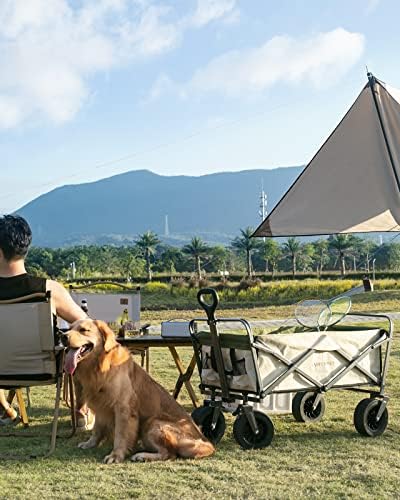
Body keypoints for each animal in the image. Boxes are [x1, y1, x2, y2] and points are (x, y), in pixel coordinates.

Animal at [65, 320, 216, 464]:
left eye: (83, 330)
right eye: (69, 328)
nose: (62, 336)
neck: (100, 366)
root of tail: (205, 442)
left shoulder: (123, 409)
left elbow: (120, 435)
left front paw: (116, 455)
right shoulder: (100, 407)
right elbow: (96, 430)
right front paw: (90, 443)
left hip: (153, 422)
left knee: (169, 454)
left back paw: (142, 456)